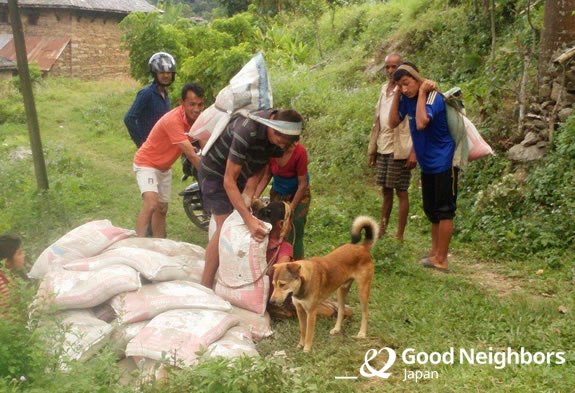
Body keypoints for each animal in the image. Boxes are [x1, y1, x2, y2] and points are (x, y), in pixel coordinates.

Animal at [268, 216, 378, 350]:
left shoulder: (311, 312)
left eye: (282, 284)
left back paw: (362, 333)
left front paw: (307, 349)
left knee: (365, 312)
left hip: (362, 290)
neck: (303, 283)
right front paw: (300, 345)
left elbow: (309, 333)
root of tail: (362, 247)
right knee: (341, 311)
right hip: (341, 290)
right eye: (273, 285)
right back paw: (336, 329)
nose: (271, 302)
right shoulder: (299, 310)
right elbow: (302, 330)